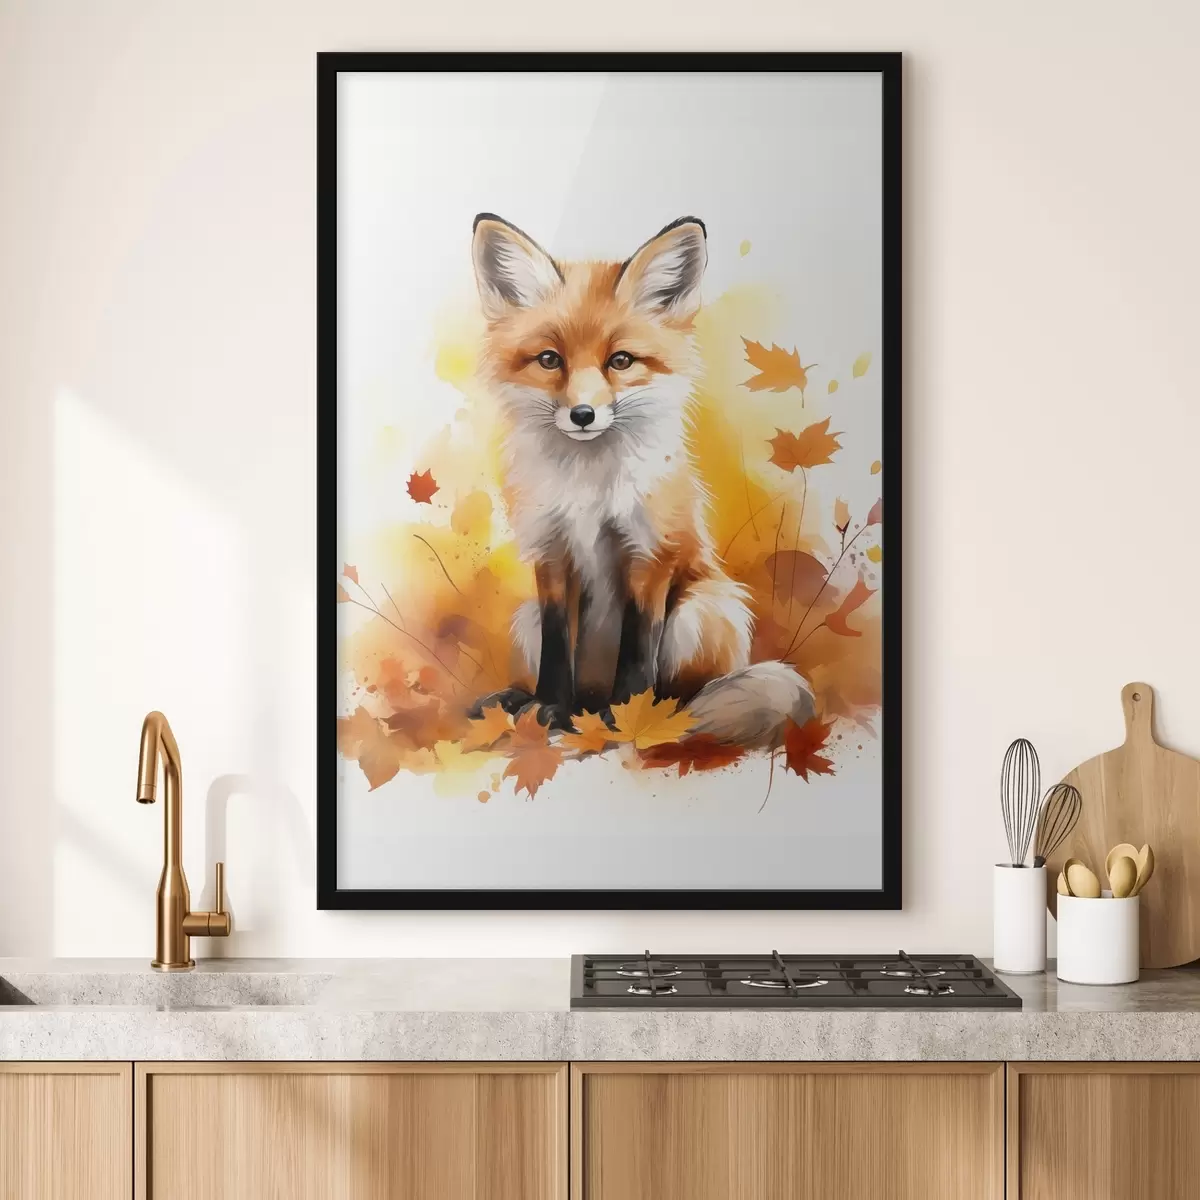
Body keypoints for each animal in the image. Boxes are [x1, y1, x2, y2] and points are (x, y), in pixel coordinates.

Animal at [468, 213, 815, 747]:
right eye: (549, 360)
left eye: (621, 361)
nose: (583, 415)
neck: (589, 488)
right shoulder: (551, 554)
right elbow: (556, 649)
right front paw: (547, 708)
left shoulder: (650, 554)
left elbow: (637, 651)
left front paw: (630, 719)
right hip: (524, 619)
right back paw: (540, 705)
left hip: (701, 612)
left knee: (686, 693)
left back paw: (654, 716)